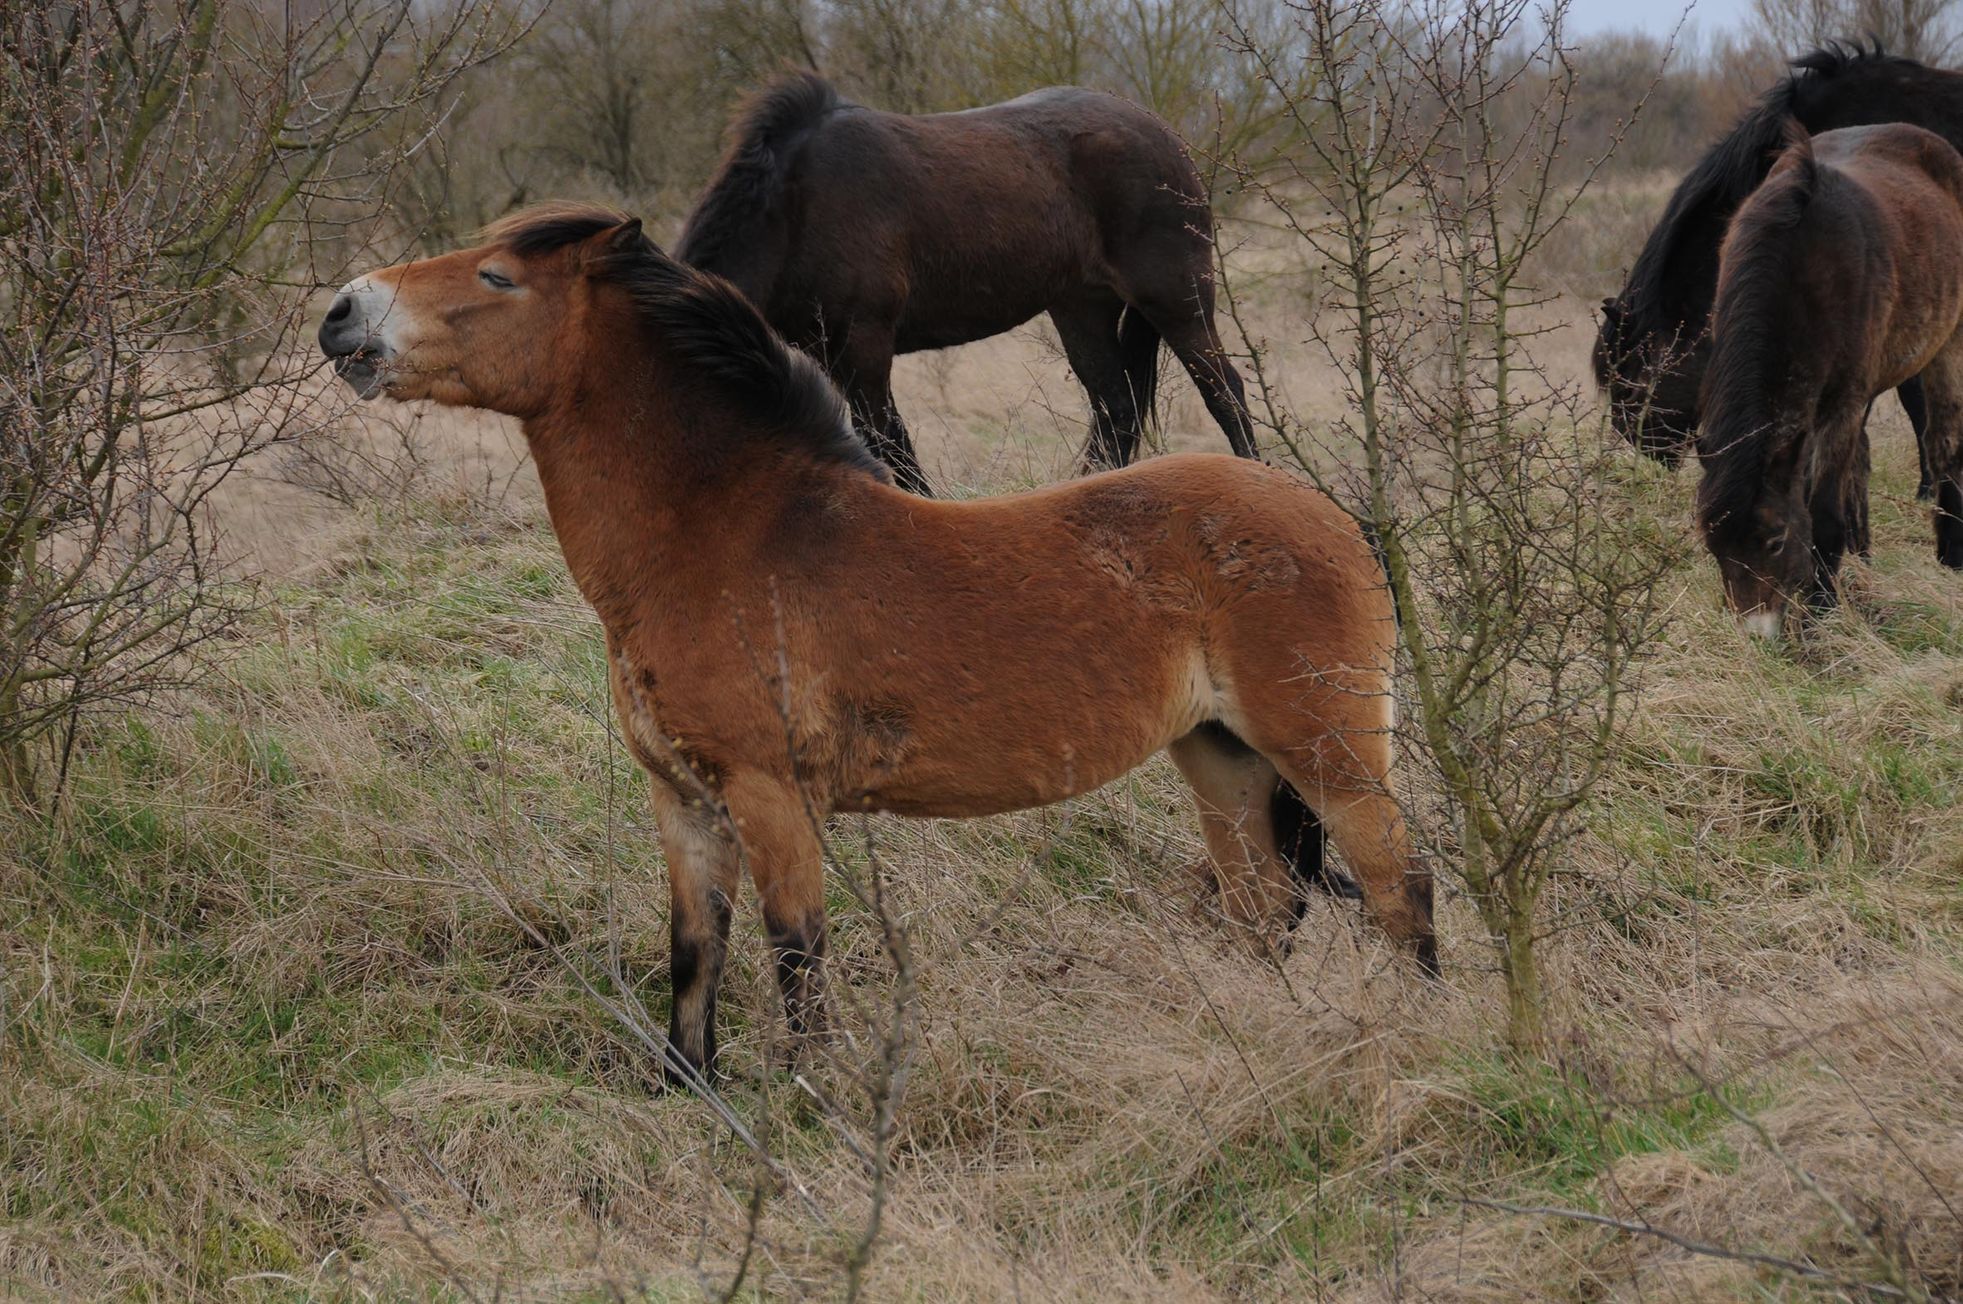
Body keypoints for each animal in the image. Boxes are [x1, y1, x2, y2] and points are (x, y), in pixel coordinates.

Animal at [318, 201, 1429, 1076]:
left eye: (496, 276)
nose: (342, 314)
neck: (722, 539)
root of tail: (1331, 515)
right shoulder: (683, 801)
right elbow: (693, 952)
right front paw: (688, 1091)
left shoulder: (770, 796)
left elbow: (794, 951)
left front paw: (812, 1104)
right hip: (1221, 757)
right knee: (1267, 906)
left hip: (1329, 751)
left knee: (1396, 890)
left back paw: (1421, 1041)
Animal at [675, 73, 1256, 496]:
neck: (793, 210)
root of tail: (1166, 137)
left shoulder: (864, 343)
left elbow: (890, 443)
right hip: (1081, 309)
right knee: (1117, 407)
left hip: (1177, 298)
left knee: (1224, 391)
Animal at [1688, 123, 1963, 636]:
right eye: (1714, 546)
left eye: (1775, 540)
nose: (1757, 636)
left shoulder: (1841, 407)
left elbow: (1824, 513)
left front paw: (1820, 610)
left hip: (1948, 347)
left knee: (1944, 445)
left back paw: (1952, 555)